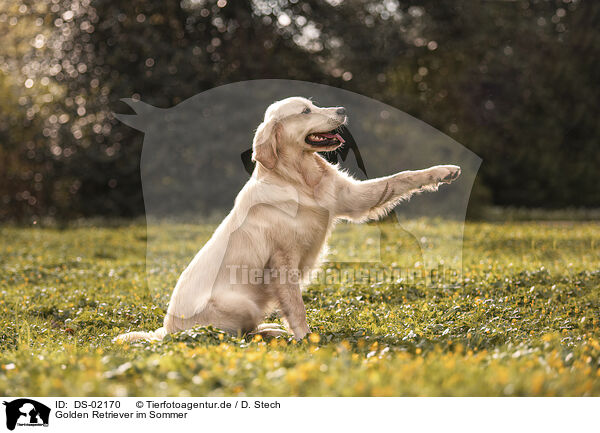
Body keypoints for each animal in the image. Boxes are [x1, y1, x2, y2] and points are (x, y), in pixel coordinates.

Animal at [116, 97, 460, 340]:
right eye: (306, 111)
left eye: (315, 105)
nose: (342, 109)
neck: (299, 179)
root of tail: (166, 331)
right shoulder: (282, 261)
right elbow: (296, 306)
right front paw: (306, 338)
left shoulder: (349, 197)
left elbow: (402, 177)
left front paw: (444, 171)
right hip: (241, 303)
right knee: (237, 337)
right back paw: (272, 333)